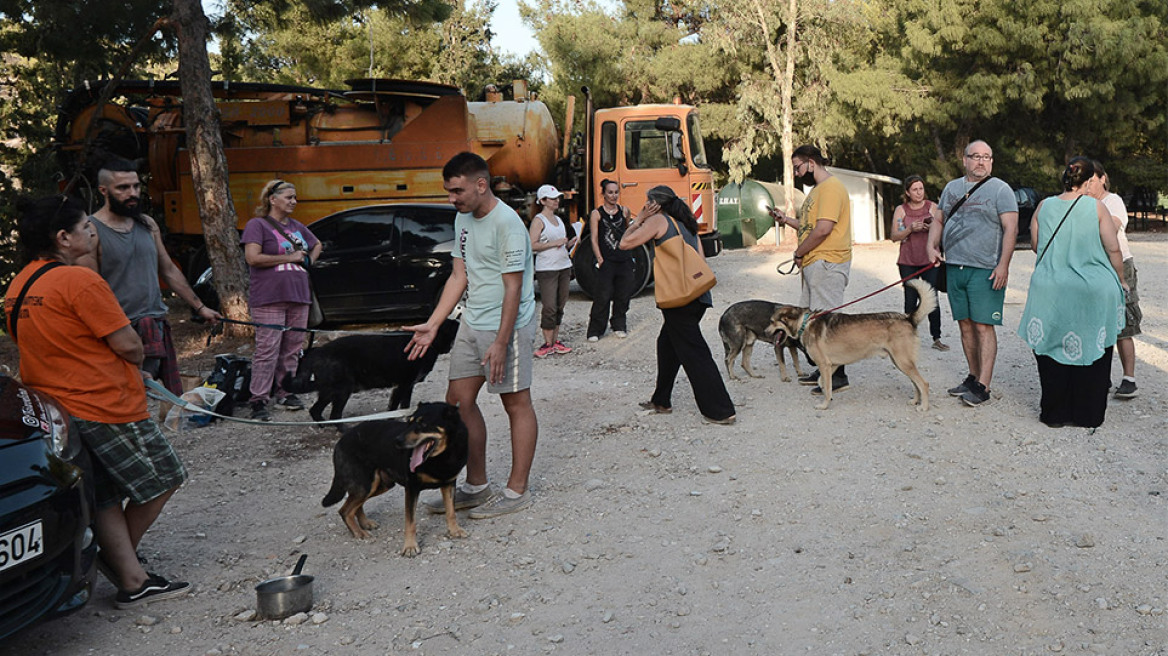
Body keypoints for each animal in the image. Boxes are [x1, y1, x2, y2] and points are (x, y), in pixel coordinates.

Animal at [283, 317, 460, 424]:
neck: (429, 342)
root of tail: (317, 352)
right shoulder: (403, 385)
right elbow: (395, 408)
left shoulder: (406, 386)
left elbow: (402, 406)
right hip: (341, 390)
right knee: (333, 415)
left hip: (329, 391)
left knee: (316, 410)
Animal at [320, 401, 469, 553]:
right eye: (409, 422)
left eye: (423, 424)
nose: (397, 441)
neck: (443, 455)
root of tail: (341, 441)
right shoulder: (412, 488)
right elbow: (410, 522)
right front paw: (410, 547)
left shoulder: (449, 483)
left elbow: (451, 511)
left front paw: (454, 531)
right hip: (367, 485)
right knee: (345, 510)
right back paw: (359, 533)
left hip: (379, 485)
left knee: (353, 505)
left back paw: (365, 523)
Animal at [775, 277, 939, 410]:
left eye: (772, 321)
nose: (767, 334)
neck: (805, 322)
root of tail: (908, 318)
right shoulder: (831, 366)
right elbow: (823, 382)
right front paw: (825, 393)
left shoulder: (824, 365)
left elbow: (826, 387)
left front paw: (824, 405)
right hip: (901, 363)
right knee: (915, 384)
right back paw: (915, 401)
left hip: (903, 363)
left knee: (923, 384)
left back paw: (924, 407)